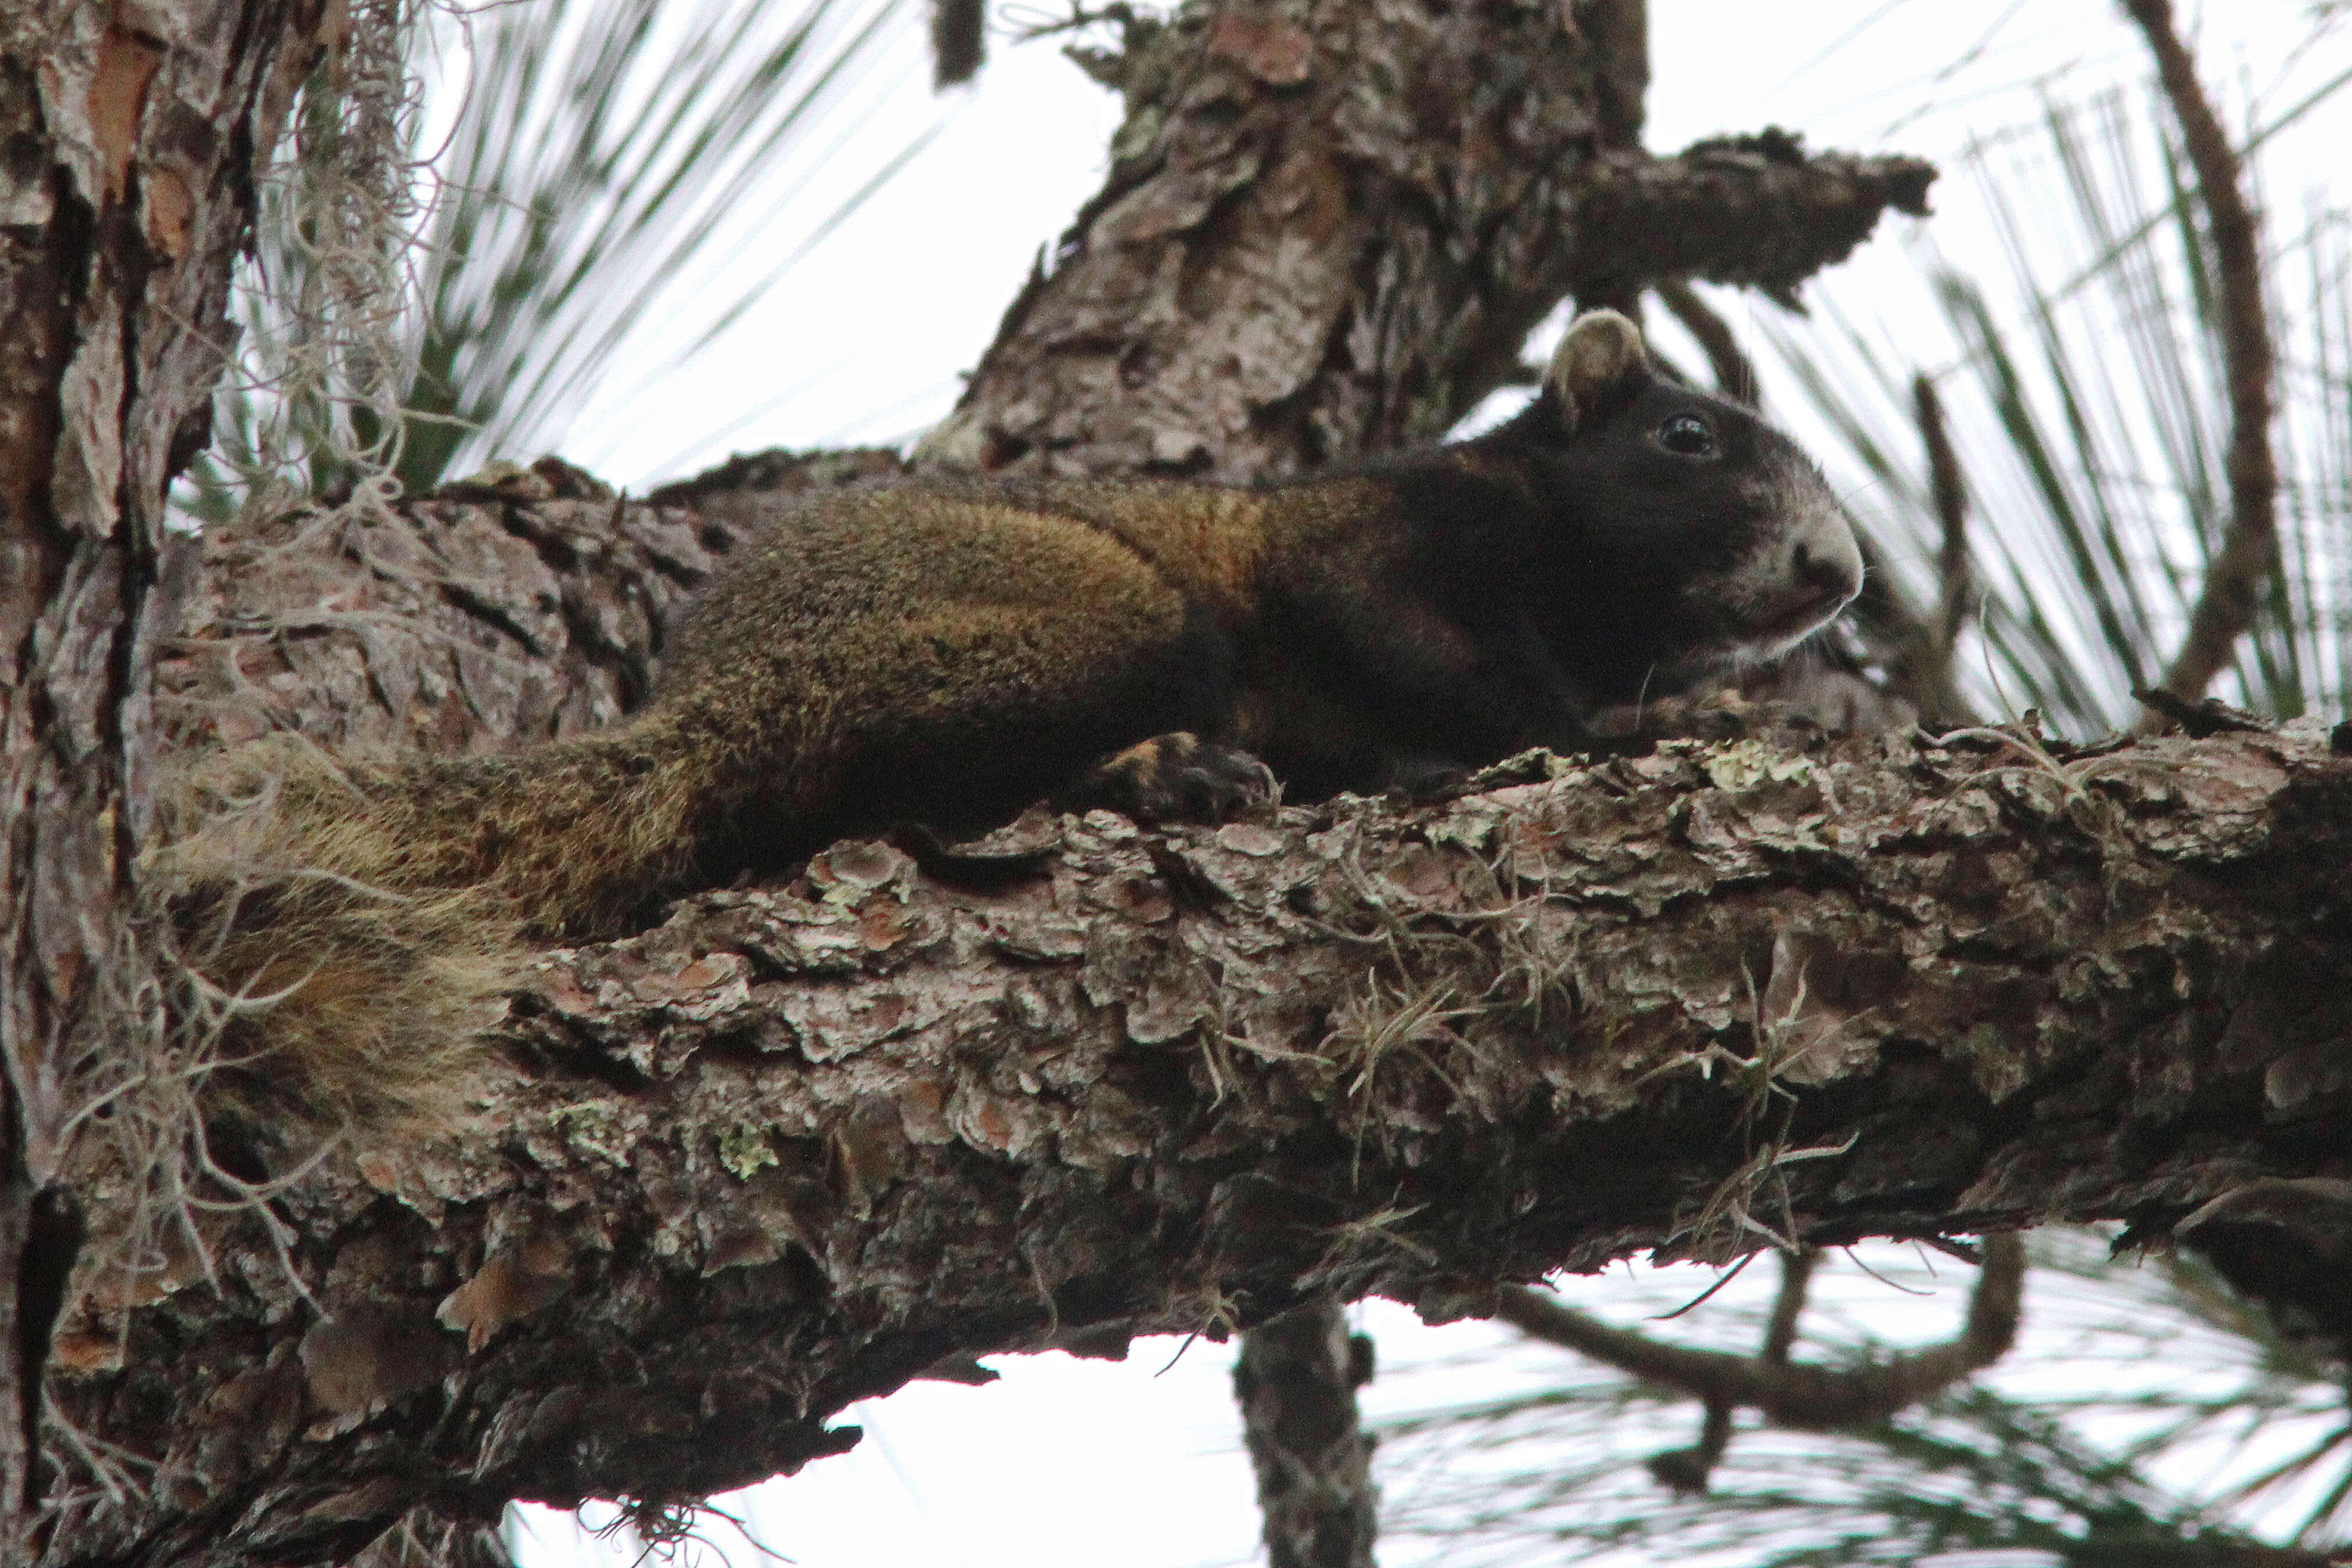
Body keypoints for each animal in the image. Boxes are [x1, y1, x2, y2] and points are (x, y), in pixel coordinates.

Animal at [156, 315, 1862, 1128]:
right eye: (1685, 434)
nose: (1835, 572)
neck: (1576, 582)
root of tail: (717, 711)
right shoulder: (1373, 547)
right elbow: (1439, 657)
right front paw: (1603, 731)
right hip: (1103, 617)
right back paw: (1170, 765)